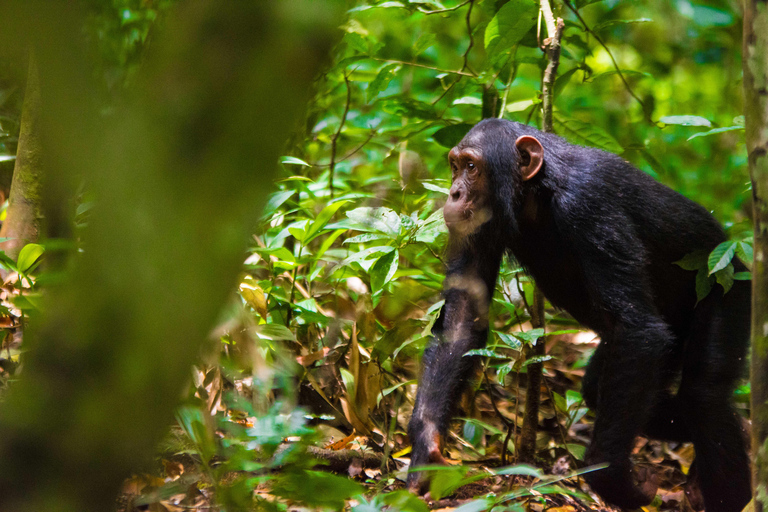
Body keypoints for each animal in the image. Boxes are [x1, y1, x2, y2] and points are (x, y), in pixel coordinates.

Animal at [408, 118, 752, 510]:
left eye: (471, 167)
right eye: (455, 166)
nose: (454, 193)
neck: (536, 193)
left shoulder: (589, 206)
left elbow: (636, 327)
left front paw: (611, 477)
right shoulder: (478, 226)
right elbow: (463, 317)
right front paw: (426, 448)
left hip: (730, 286)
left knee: (703, 396)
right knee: (602, 390)